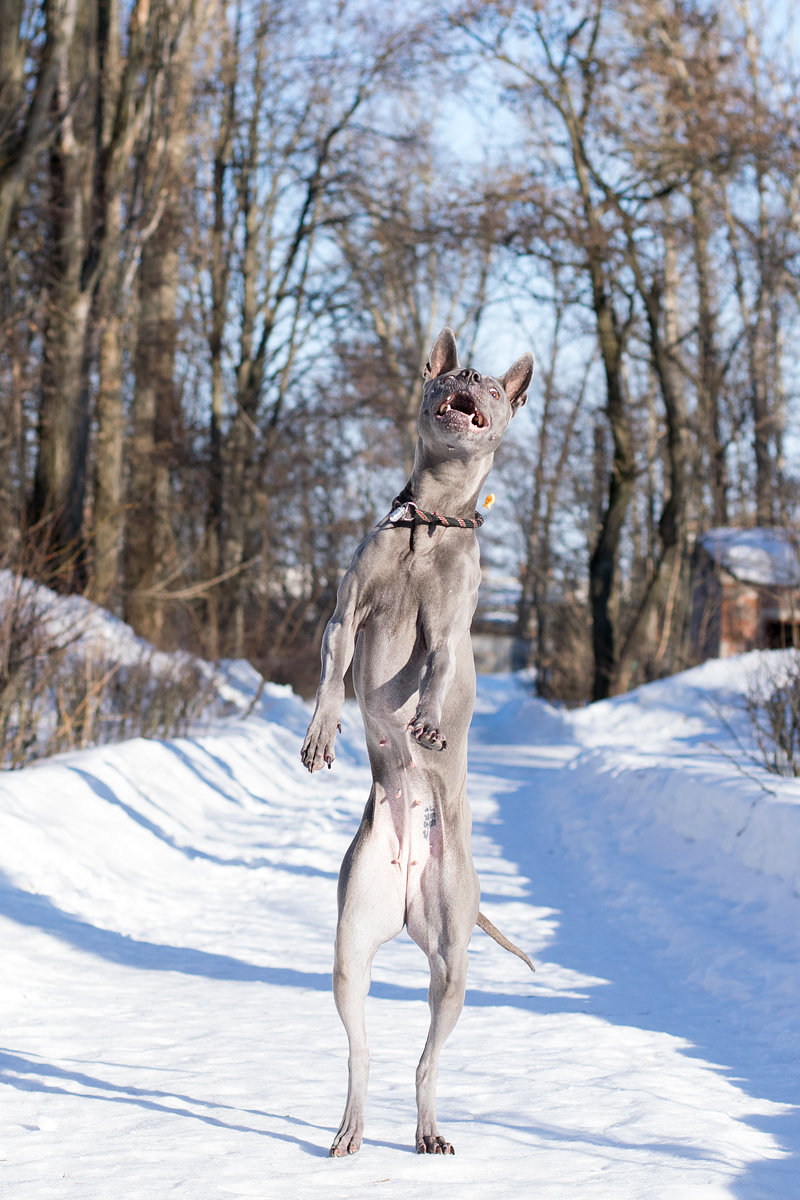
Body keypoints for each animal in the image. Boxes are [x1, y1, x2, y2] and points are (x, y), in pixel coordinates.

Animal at [303, 326, 534, 1152]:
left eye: (493, 389)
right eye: (453, 373)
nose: (469, 375)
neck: (431, 521)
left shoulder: (450, 631)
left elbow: (437, 669)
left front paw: (429, 720)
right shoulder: (346, 613)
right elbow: (333, 669)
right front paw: (320, 731)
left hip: (453, 959)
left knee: (428, 1059)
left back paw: (430, 1129)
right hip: (350, 945)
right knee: (362, 1049)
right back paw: (350, 1128)